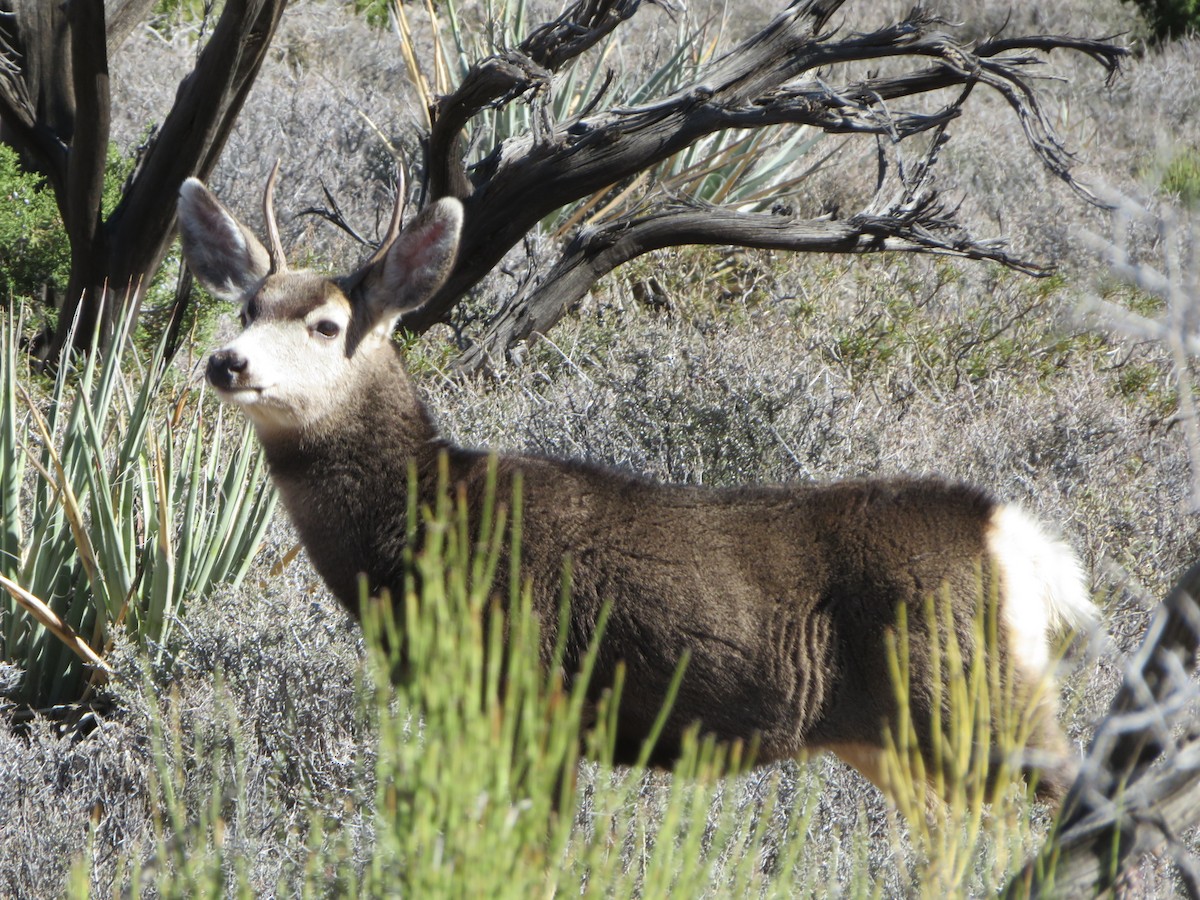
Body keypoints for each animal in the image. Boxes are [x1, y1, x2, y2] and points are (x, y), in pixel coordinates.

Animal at [177, 168, 1096, 806]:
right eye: (247, 308)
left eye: (326, 324)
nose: (227, 362)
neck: (432, 518)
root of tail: (1023, 544)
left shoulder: (533, 692)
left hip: (974, 700)